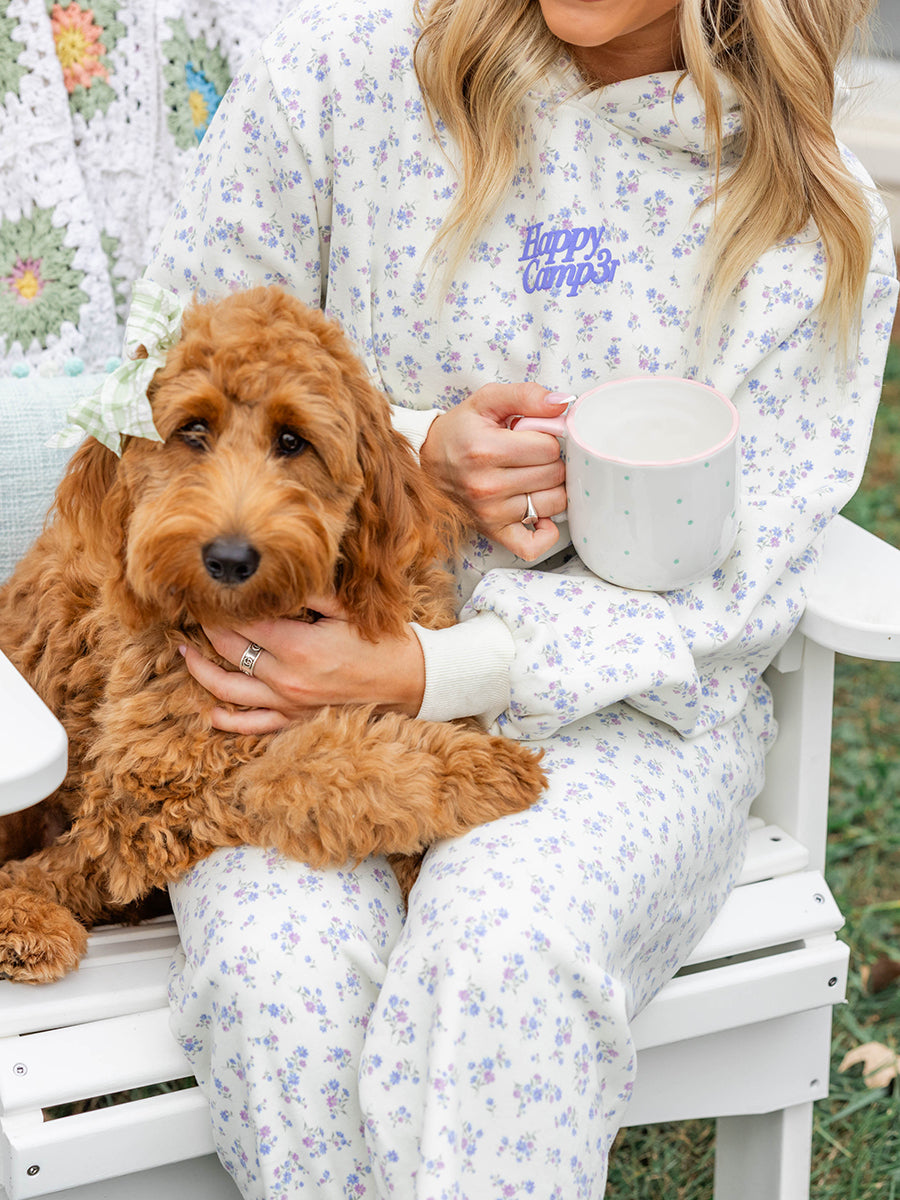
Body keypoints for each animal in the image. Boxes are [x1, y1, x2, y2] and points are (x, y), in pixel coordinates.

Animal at [0, 285, 549, 979]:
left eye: (293, 441)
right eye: (193, 431)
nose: (230, 558)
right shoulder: (155, 789)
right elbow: (317, 761)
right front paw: (478, 768)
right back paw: (28, 923)